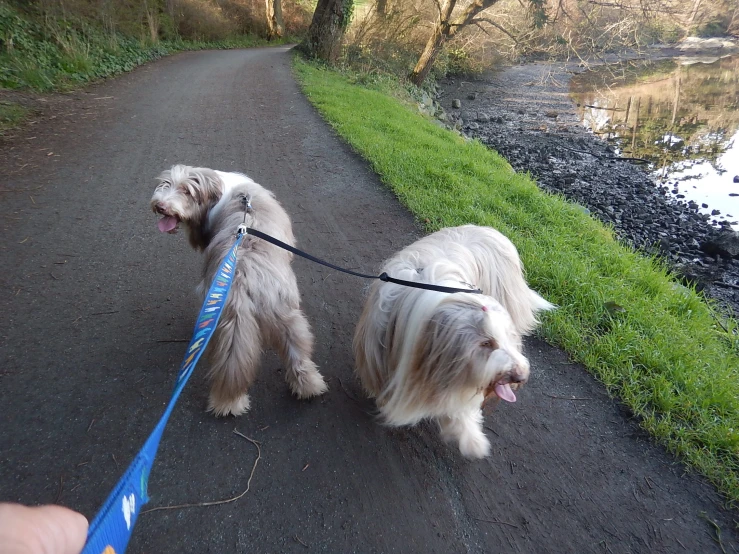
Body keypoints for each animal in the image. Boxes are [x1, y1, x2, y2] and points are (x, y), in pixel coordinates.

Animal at [150, 164, 326, 414]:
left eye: (186, 191)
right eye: (166, 184)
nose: (160, 206)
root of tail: (243, 276)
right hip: (285, 315)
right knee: (298, 351)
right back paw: (308, 386)